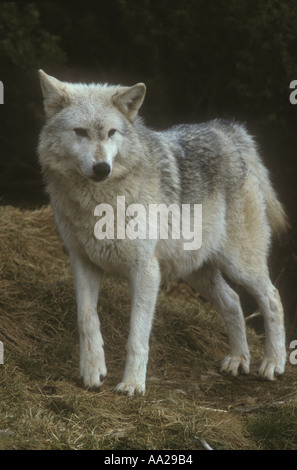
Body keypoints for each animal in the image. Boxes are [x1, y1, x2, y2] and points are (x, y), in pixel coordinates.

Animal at [37, 70, 286, 394]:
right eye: (80, 132)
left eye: (112, 133)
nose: (102, 168)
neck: (98, 204)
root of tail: (226, 131)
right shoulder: (83, 262)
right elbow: (87, 320)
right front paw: (92, 373)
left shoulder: (145, 271)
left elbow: (137, 336)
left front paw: (132, 384)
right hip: (197, 271)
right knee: (232, 301)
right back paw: (237, 360)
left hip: (240, 265)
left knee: (272, 298)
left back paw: (273, 363)